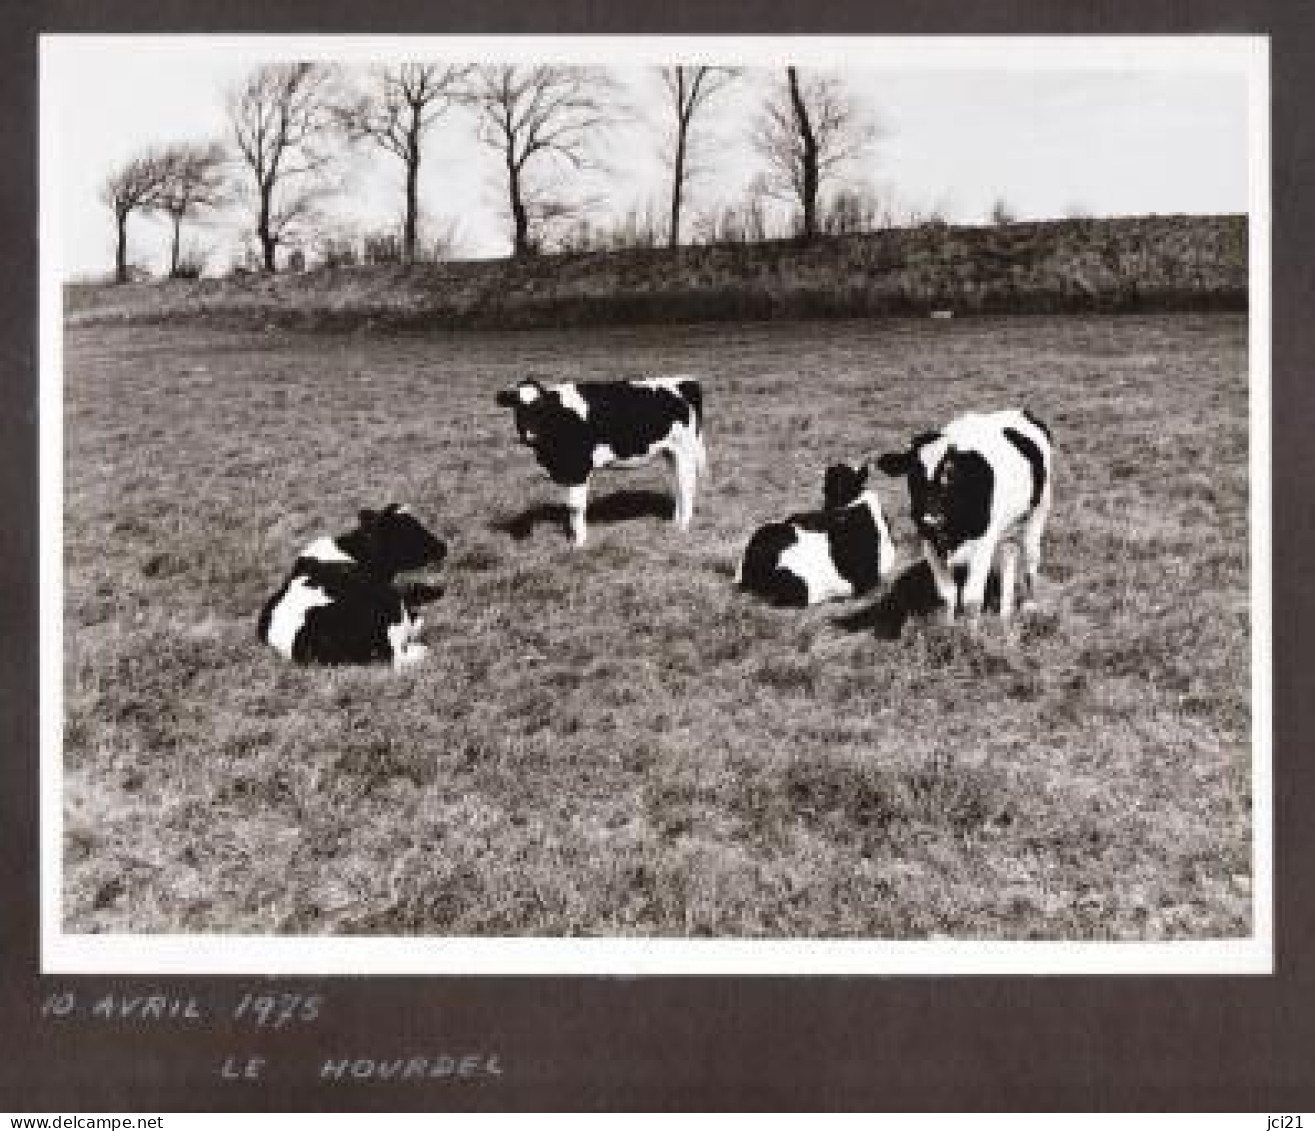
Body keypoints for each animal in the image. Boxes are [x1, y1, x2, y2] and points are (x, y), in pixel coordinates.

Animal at [494, 378, 704, 544]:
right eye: (517, 407)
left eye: (541, 407)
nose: (530, 435)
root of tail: (685, 381)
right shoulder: (565, 470)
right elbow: (568, 505)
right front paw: (573, 536)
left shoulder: (578, 468)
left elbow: (576, 506)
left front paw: (579, 542)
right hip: (671, 452)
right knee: (677, 484)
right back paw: (674, 522)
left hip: (685, 450)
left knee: (687, 485)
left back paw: (683, 527)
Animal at [878, 407, 1052, 628]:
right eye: (912, 473)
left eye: (951, 473)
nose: (930, 517)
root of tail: (1021, 411)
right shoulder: (930, 543)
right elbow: (947, 594)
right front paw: (948, 628)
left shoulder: (983, 543)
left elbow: (972, 600)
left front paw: (971, 635)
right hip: (1007, 524)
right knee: (1009, 555)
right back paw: (1004, 615)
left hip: (1038, 511)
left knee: (1031, 560)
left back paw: (1030, 605)